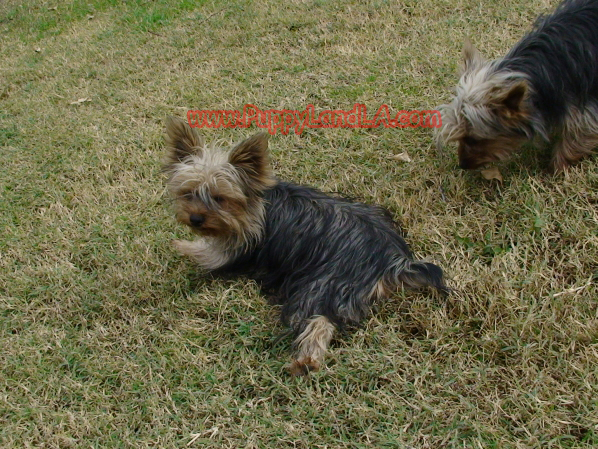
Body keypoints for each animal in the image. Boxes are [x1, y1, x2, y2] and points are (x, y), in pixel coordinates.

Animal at [164, 116, 446, 374]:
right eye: (188, 193)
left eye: (220, 198)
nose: (195, 219)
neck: (256, 204)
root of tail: (393, 259)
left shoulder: (232, 247)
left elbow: (203, 253)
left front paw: (180, 245)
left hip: (323, 283)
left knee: (319, 319)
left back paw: (306, 361)